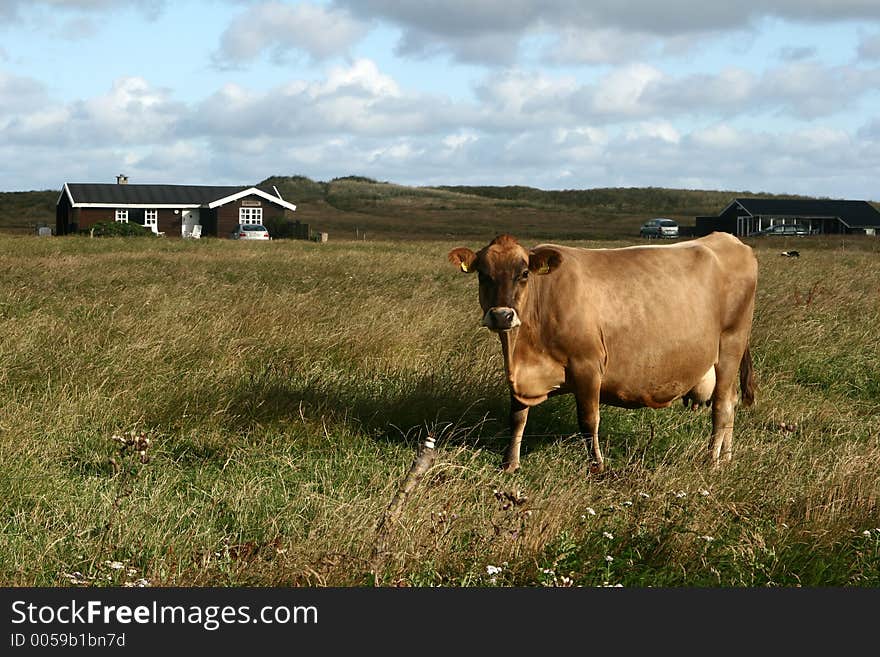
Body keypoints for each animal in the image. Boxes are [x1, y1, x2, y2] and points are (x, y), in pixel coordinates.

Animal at [446, 231, 756, 472]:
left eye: (523, 274)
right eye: (483, 275)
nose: (502, 316)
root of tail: (728, 239)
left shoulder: (588, 365)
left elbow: (588, 420)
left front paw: (597, 466)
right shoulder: (520, 376)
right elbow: (517, 417)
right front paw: (510, 463)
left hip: (731, 344)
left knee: (721, 406)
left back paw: (712, 461)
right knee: (731, 401)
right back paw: (726, 458)